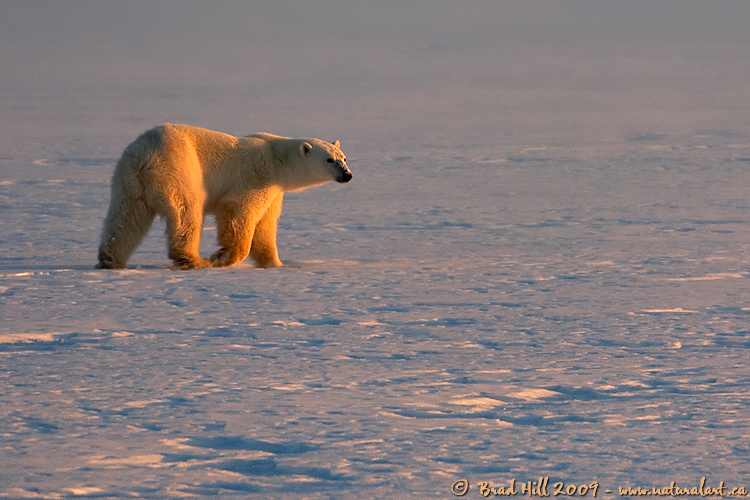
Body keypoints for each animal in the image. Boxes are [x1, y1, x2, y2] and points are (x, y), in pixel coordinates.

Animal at [96, 123, 352, 269]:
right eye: (329, 160)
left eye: (344, 157)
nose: (347, 175)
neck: (277, 158)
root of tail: (145, 156)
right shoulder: (257, 177)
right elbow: (239, 212)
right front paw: (222, 257)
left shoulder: (274, 190)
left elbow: (265, 225)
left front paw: (277, 264)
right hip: (180, 169)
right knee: (187, 212)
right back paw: (195, 260)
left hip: (128, 181)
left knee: (127, 218)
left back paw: (110, 260)